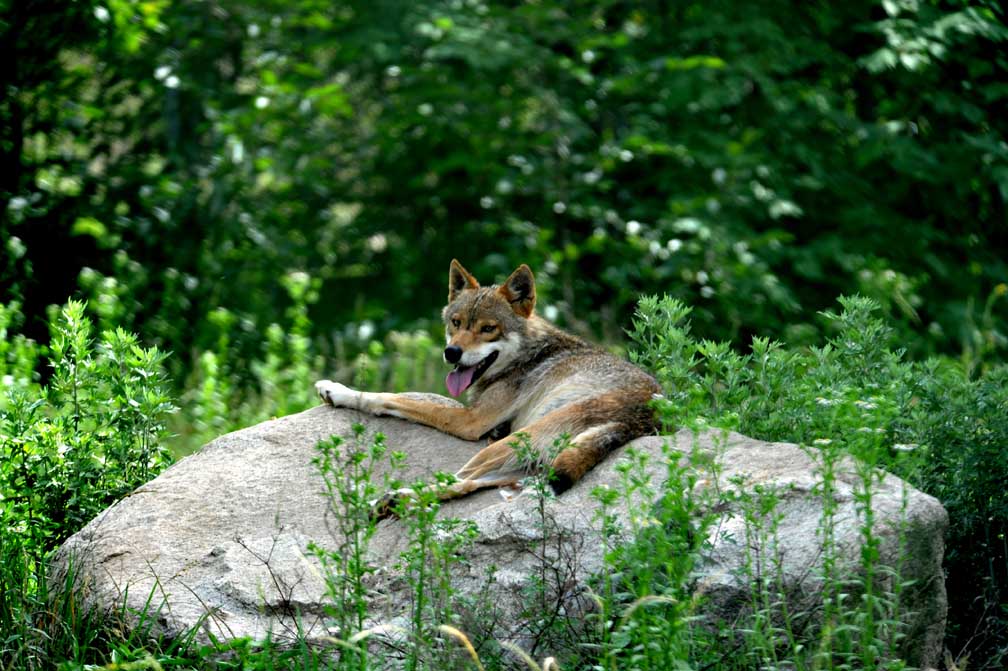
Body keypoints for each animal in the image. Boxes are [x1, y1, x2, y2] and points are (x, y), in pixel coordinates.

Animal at [314, 257, 661, 509]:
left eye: (488, 328)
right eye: (456, 323)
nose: (452, 352)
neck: (527, 354)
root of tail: (638, 424)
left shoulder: (471, 422)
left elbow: (389, 397)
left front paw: (337, 390)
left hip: (513, 442)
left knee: (456, 479)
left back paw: (376, 498)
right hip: (520, 459)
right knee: (464, 484)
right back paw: (392, 500)